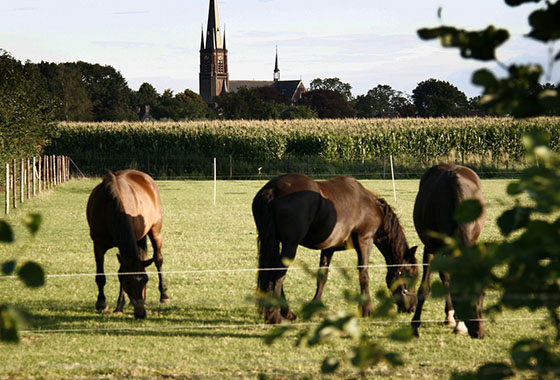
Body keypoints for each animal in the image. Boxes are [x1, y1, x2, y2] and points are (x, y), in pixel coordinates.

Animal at [86, 171, 170, 320]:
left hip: (155, 232)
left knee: (158, 260)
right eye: (129, 282)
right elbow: (101, 275)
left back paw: (163, 295)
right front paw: (101, 303)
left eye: (145, 280)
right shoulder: (98, 245)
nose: (141, 313)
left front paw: (119, 306)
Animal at [252, 172, 418, 324]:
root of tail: (273, 190)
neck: (371, 206)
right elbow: (364, 275)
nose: (412, 308)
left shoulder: (328, 249)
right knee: (278, 276)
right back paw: (275, 316)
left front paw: (315, 307)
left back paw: (287, 313)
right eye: (411, 274)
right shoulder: (365, 241)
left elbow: (322, 278)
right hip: (290, 245)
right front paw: (367, 310)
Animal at [412, 165, 486, 336]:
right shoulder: (430, 249)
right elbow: (424, 288)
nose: (479, 332)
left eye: (483, 296)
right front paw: (415, 325)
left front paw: (459, 325)